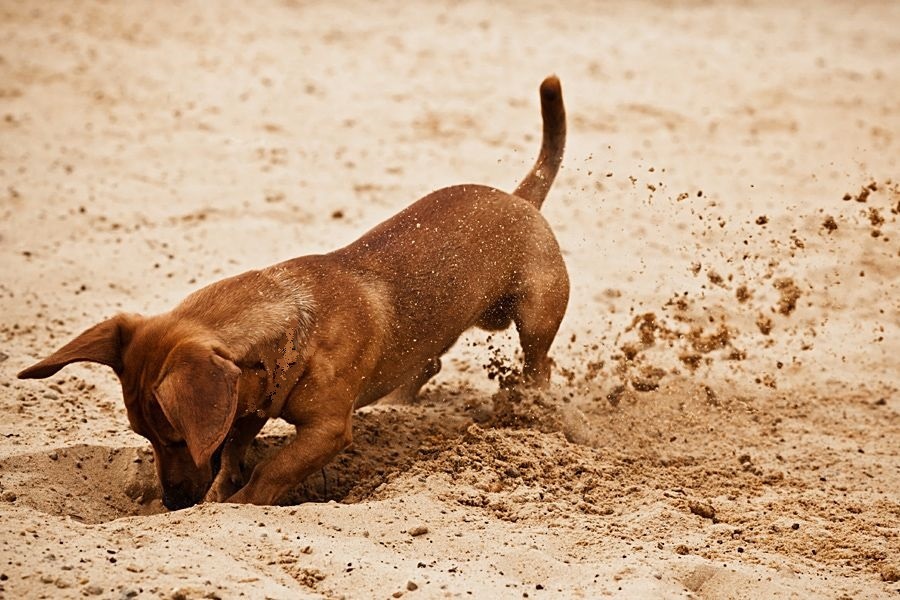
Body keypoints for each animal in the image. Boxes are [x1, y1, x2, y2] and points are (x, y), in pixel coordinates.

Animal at [15, 74, 568, 506]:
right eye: (141, 435)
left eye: (175, 437)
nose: (172, 503)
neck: (296, 322)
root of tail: (521, 198)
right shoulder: (244, 403)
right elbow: (234, 449)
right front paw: (222, 487)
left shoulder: (325, 431)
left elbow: (271, 470)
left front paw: (237, 502)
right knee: (425, 363)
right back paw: (399, 403)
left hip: (537, 316)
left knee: (538, 365)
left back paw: (531, 408)